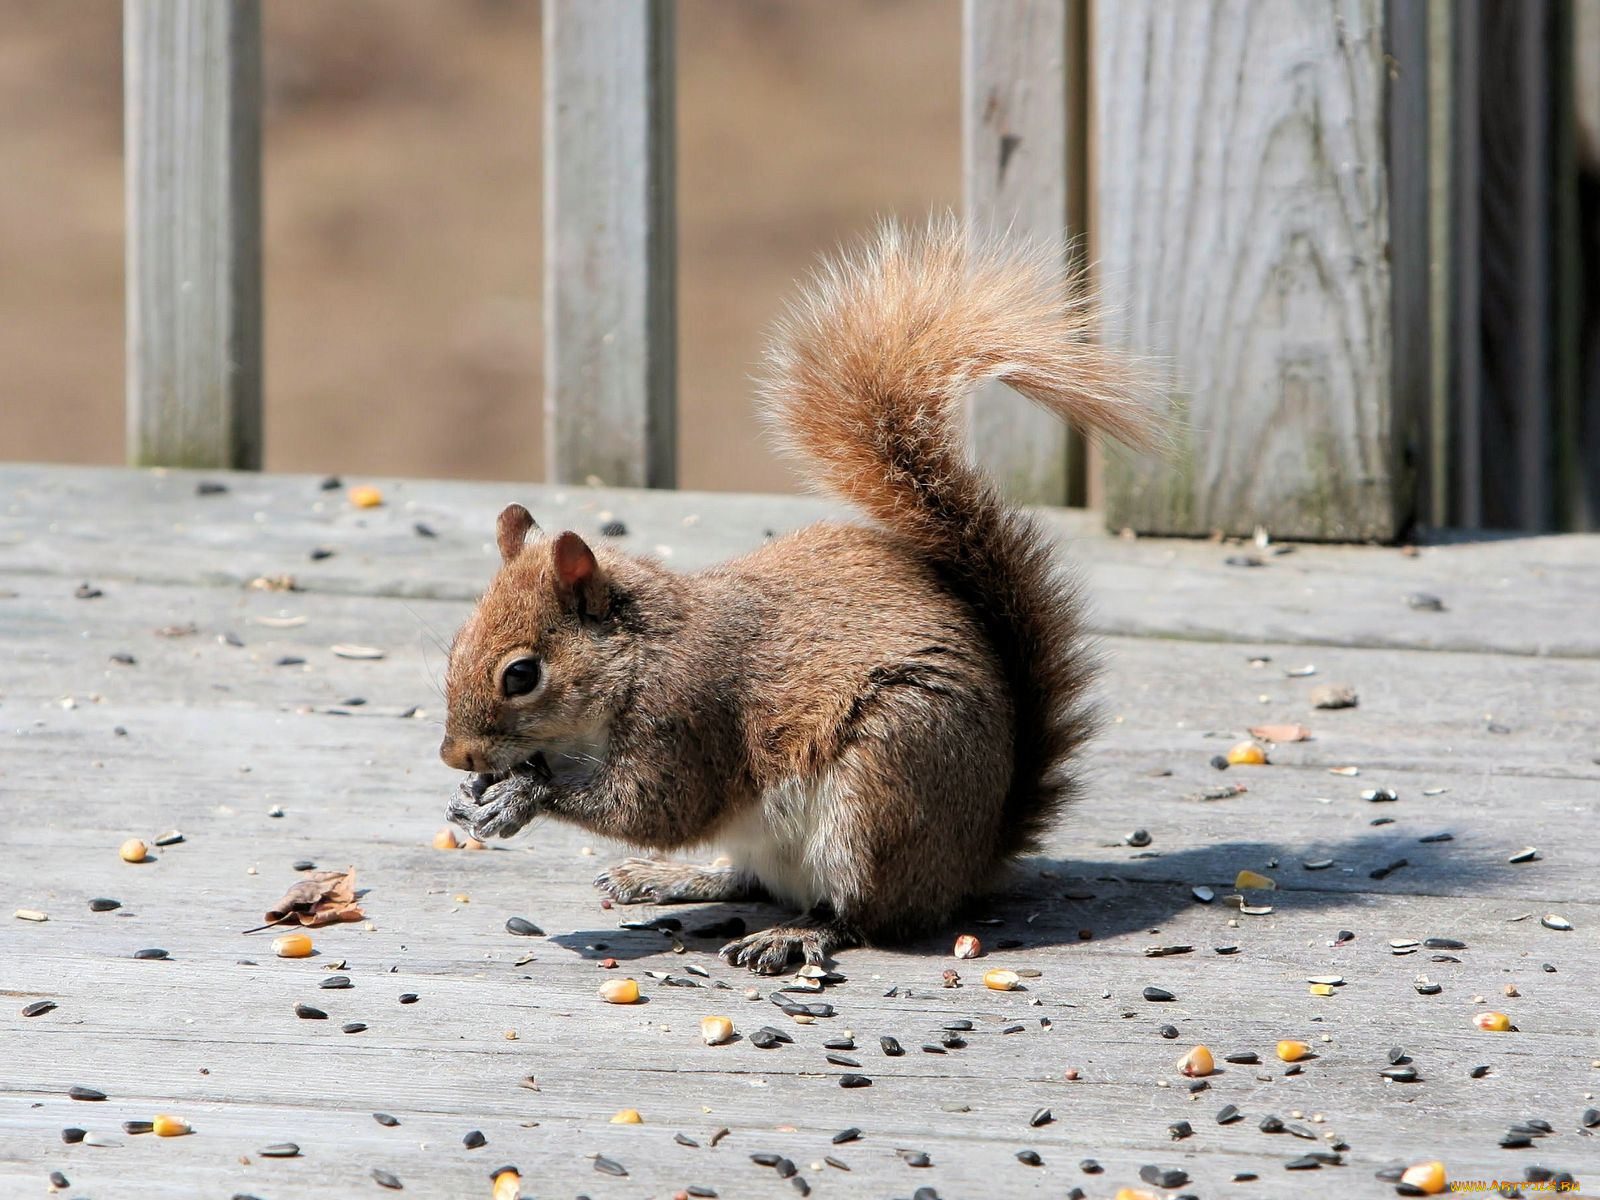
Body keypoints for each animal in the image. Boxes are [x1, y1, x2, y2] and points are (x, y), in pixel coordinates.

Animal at [444, 220, 1158, 979]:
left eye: (522, 675)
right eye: (454, 646)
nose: (455, 757)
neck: (639, 655)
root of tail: (968, 862)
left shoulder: (689, 717)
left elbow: (659, 808)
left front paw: (523, 794)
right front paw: (474, 799)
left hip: (878, 791)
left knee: (866, 914)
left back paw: (797, 933)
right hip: (781, 830)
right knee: (748, 878)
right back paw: (670, 878)